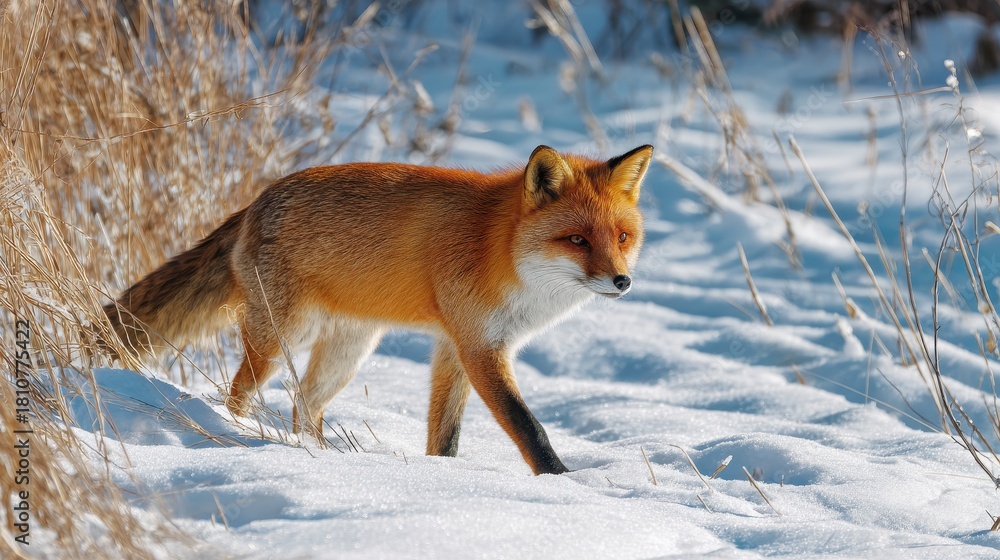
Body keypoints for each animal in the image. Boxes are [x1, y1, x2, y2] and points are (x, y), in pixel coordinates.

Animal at [103, 144, 653, 475]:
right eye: (577, 240)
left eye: (623, 238)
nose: (622, 281)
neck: (498, 249)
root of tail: (257, 201)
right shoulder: (480, 347)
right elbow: (529, 427)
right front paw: (561, 483)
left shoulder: (456, 347)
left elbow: (445, 436)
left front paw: (446, 480)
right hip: (280, 339)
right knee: (238, 393)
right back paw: (236, 434)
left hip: (349, 352)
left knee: (304, 406)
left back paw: (321, 458)